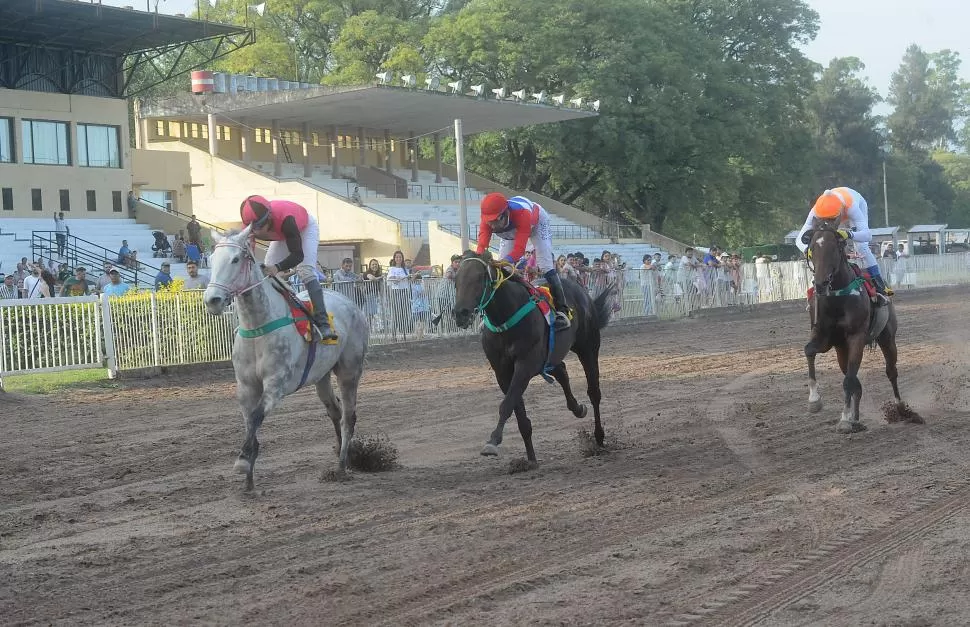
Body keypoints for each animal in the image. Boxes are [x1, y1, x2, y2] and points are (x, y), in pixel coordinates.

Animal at [202, 227, 368, 490]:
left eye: (236, 259)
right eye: (210, 260)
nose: (212, 300)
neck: (257, 327)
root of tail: (350, 303)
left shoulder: (276, 384)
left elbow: (257, 416)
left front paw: (242, 461)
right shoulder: (246, 387)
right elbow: (250, 423)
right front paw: (248, 480)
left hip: (349, 371)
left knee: (348, 416)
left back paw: (342, 466)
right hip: (321, 376)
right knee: (334, 410)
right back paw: (346, 456)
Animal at [800, 218, 900, 434]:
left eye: (835, 248)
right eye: (812, 248)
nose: (820, 284)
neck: (837, 299)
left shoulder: (856, 338)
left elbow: (849, 381)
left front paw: (844, 419)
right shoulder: (823, 336)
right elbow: (809, 350)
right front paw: (814, 400)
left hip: (887, 338)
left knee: (891, 371)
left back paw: (900, 408)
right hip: (841, 350)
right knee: (856, 382)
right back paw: (856, 419)